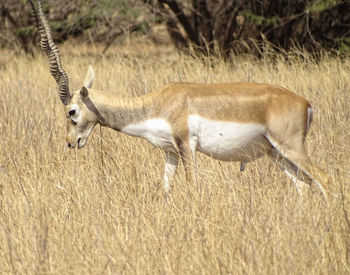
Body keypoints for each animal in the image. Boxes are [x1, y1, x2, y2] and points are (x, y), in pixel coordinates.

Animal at [30, 0, 330, 199]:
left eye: (71, 112)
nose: (71, 142)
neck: (154, 105)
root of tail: (305, 103)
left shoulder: (187, 146)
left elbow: (193, 188)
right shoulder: (170, 152)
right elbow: (164, 190)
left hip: (290, 147)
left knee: (324, 177)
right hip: (276, 153)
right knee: (304, 185)